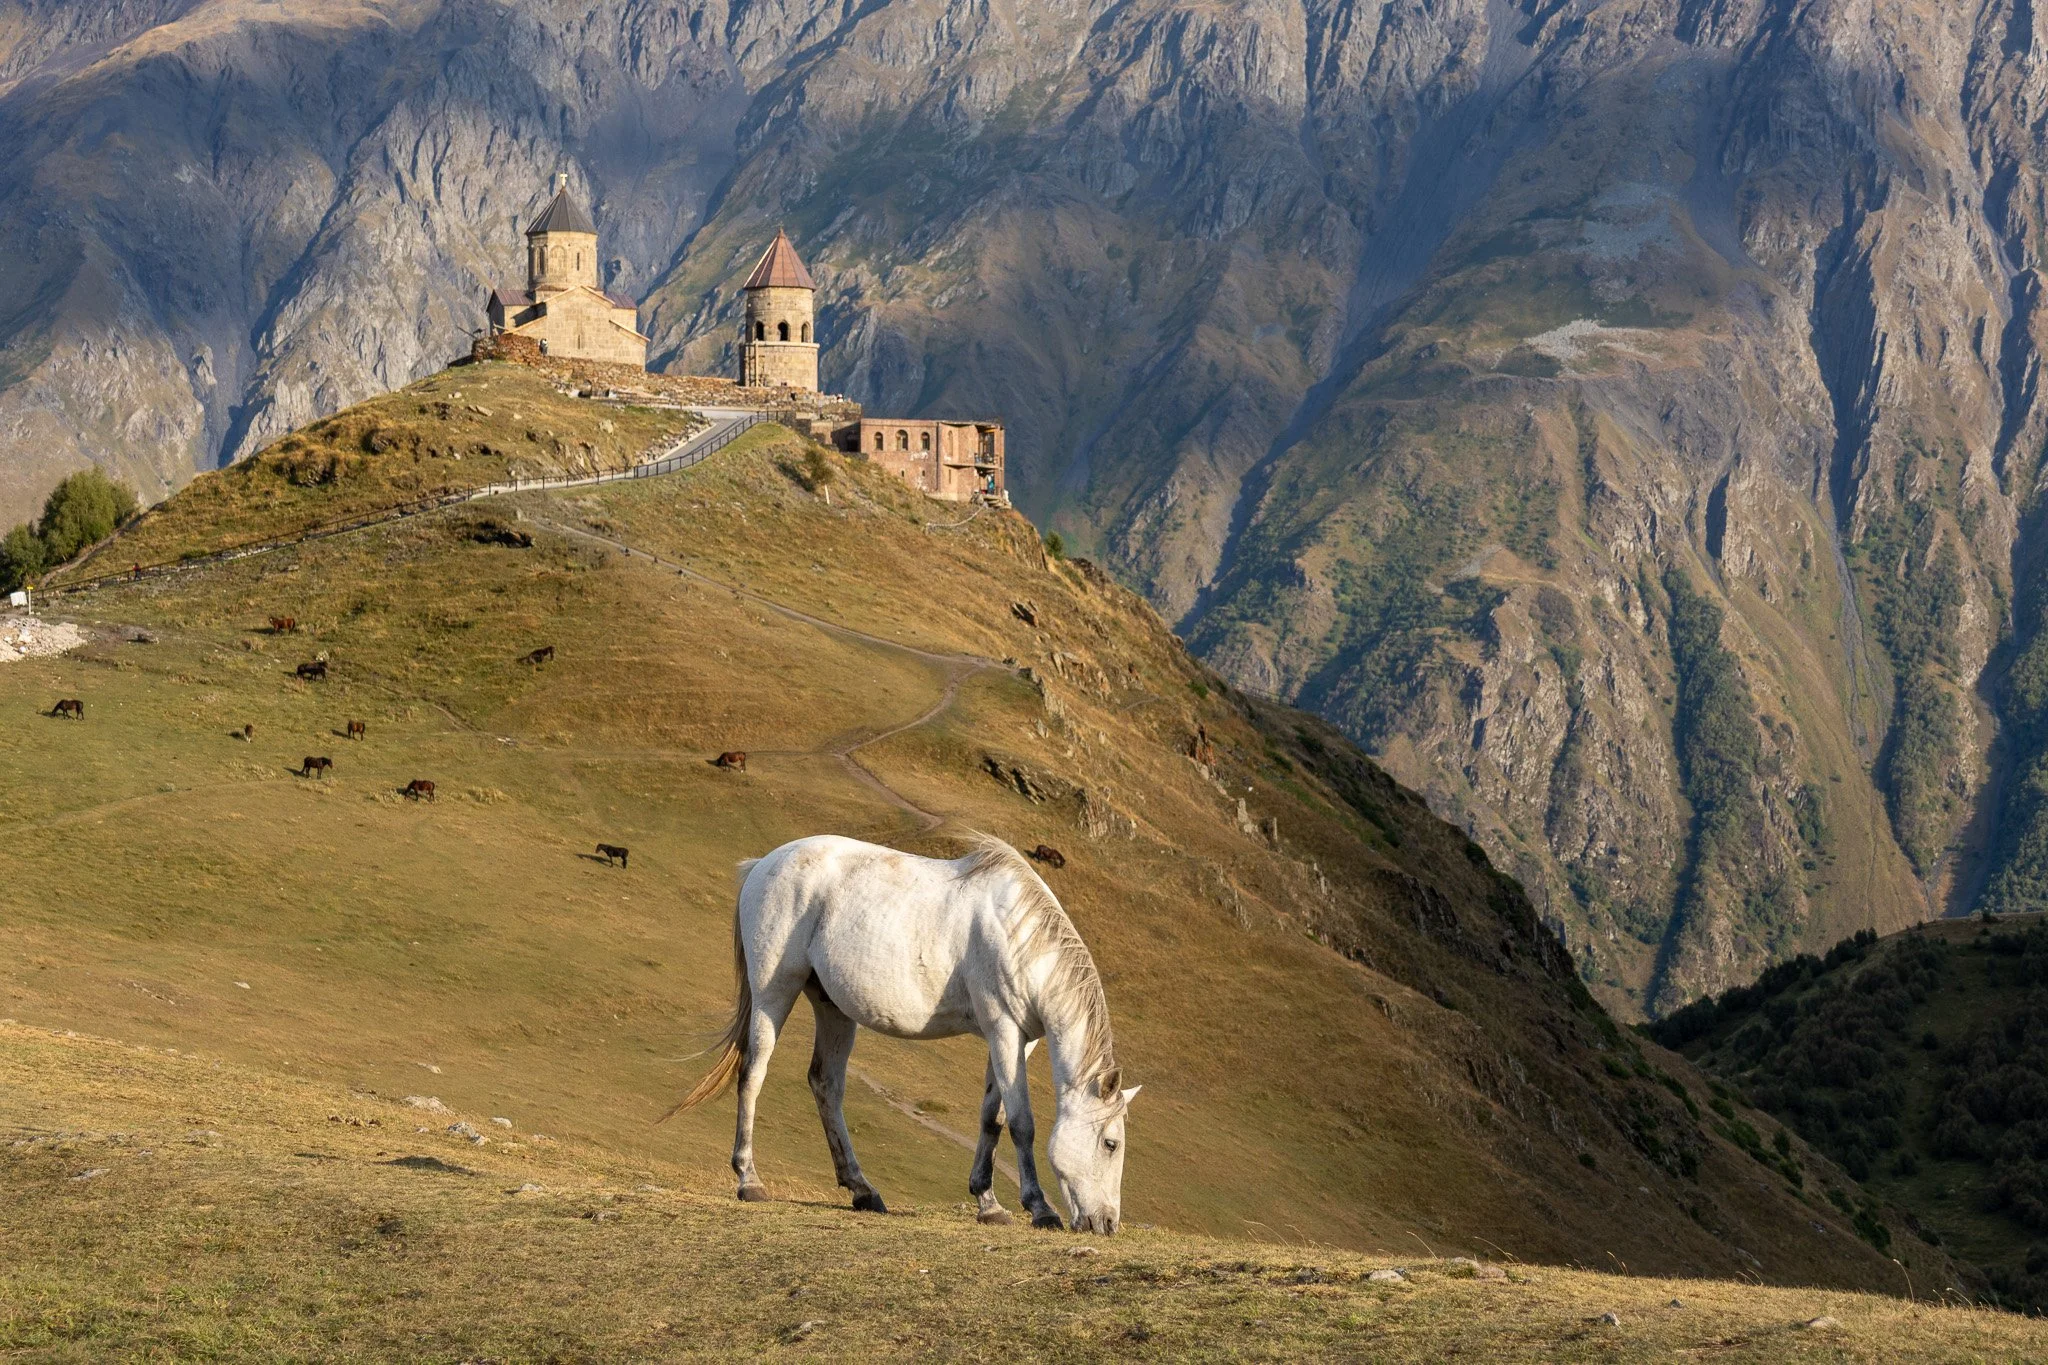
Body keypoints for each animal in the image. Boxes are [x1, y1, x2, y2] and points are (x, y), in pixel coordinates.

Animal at [664, 834, 1138, 1235]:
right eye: (1111, 1143)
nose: (1107, 1224)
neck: (1021, 934)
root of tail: (762, 864)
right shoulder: (1003, 1028)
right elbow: (1022, 1123)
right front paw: (1039, 1209)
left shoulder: (1016, 1039)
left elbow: (993, 1116)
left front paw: (988, 1203)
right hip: (773, 992)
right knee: (753, 1073)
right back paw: (750, 1180)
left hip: (833, 1008)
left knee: (825, 1084)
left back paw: (862, 1190)